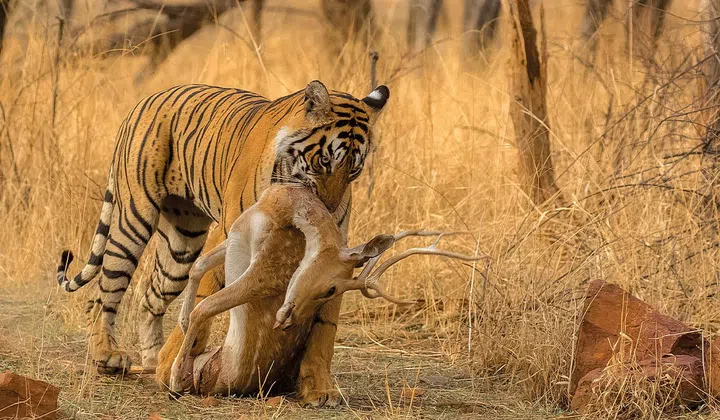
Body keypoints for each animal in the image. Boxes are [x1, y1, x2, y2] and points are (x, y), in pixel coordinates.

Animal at [56, 81, 390, 383]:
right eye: (324, 161)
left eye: (354, 170)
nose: (329, 208)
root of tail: (144, 101)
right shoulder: (232, 231)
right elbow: (207, 294)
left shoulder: (333, 252)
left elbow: (325, 321)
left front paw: (320, 389)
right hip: (133, 222)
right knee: (103, 295)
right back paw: (108, 354)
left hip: (181, 245)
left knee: (150, 299)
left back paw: (152, 359)